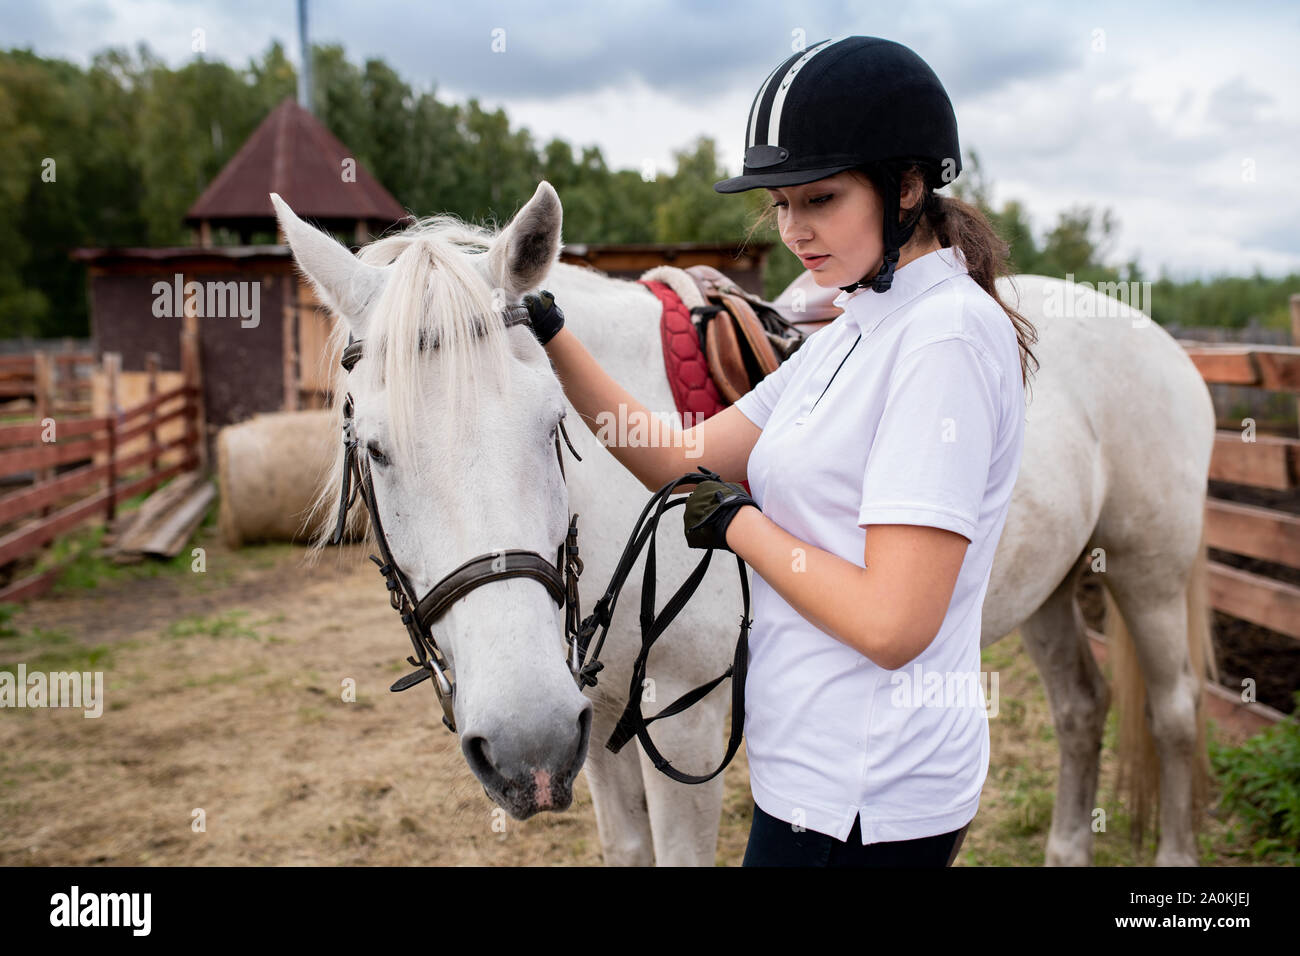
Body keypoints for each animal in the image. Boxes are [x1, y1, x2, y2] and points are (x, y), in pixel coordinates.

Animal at [274, 179, 1216, 868]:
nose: (521, 740)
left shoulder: (680, 728)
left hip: (1147, 569)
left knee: (1173, 716)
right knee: (1082, 710)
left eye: (550, 426)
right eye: (375, 449)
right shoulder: (596, 729)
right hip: (1051, 588)